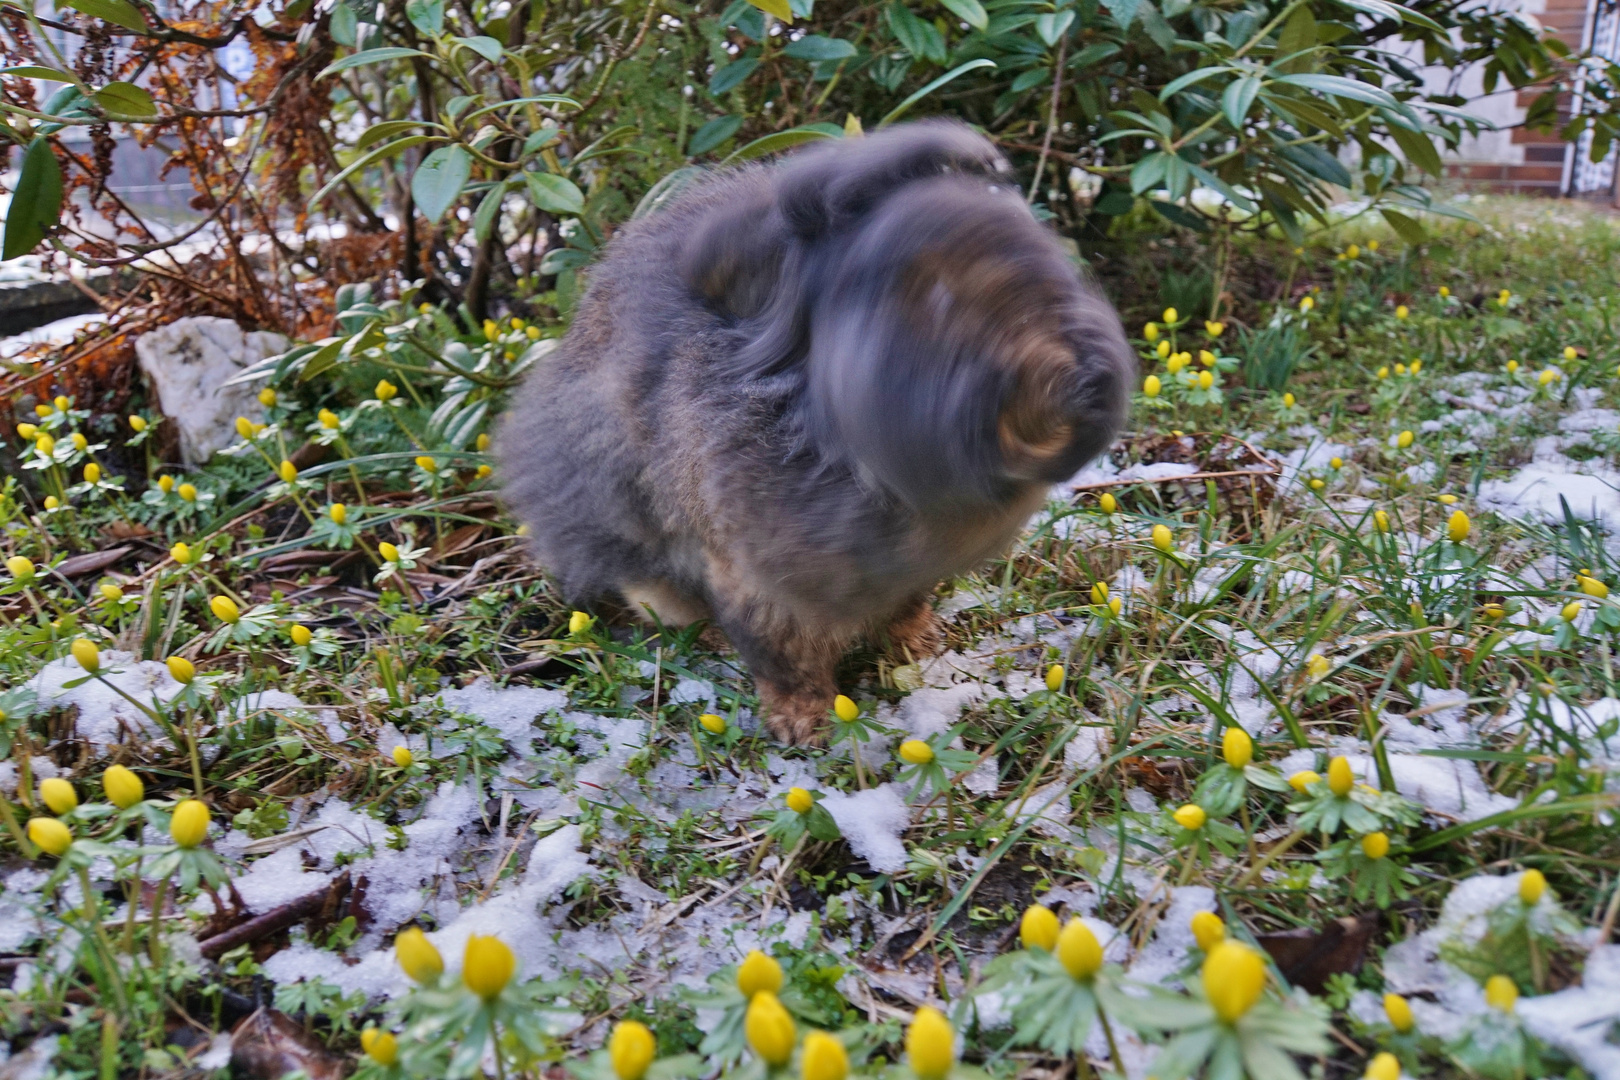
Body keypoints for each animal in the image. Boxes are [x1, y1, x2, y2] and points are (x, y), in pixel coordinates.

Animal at [498, 118, 1134, 744]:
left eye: (1043, 261)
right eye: (930, 296)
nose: (1074, 379)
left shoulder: (905, 578)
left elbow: (905, 610)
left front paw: (920, 648)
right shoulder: (758, 584)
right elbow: (783, 659)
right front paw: (804, 727)